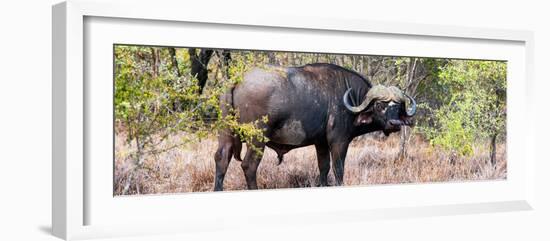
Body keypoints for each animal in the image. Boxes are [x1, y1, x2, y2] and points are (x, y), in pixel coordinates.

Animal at [213, 62, 416, 190]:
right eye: (380, 105)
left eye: (398, 107)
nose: (395, 124)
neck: (351, 99)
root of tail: (237, 79)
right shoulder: (339, 141)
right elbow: (338, 170)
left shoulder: (321, 143)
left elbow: (324, 168)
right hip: (257, 138)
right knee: (249, 166)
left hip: (226, 134)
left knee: (222, 158)